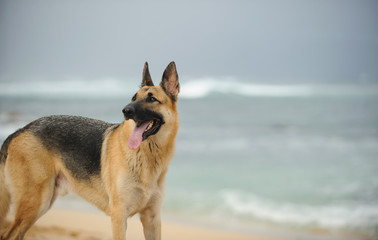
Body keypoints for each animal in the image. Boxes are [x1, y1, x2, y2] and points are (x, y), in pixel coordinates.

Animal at [0, 61, 180, 239]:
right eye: (133, 98)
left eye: (152, 99)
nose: (126, 110)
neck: (147, 156)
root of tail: (19, 130)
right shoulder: (119, 216)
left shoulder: (152, 219)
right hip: (36, 203)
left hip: (41, 204)